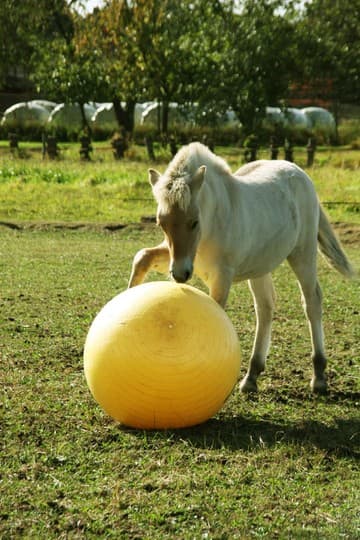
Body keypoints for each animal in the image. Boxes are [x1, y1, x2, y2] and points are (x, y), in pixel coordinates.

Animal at [129, 141, 354, 394]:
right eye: (161, 223)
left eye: (194, 221)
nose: (180, 274)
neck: (213, 221)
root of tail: (299, 172)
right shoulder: (179, 258)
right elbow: (142, 257)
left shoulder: (221, 276)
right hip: (259, 267)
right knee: (265, 307)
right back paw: (251, 376)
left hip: (303, 254)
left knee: (311, 300)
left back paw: (319, 377)